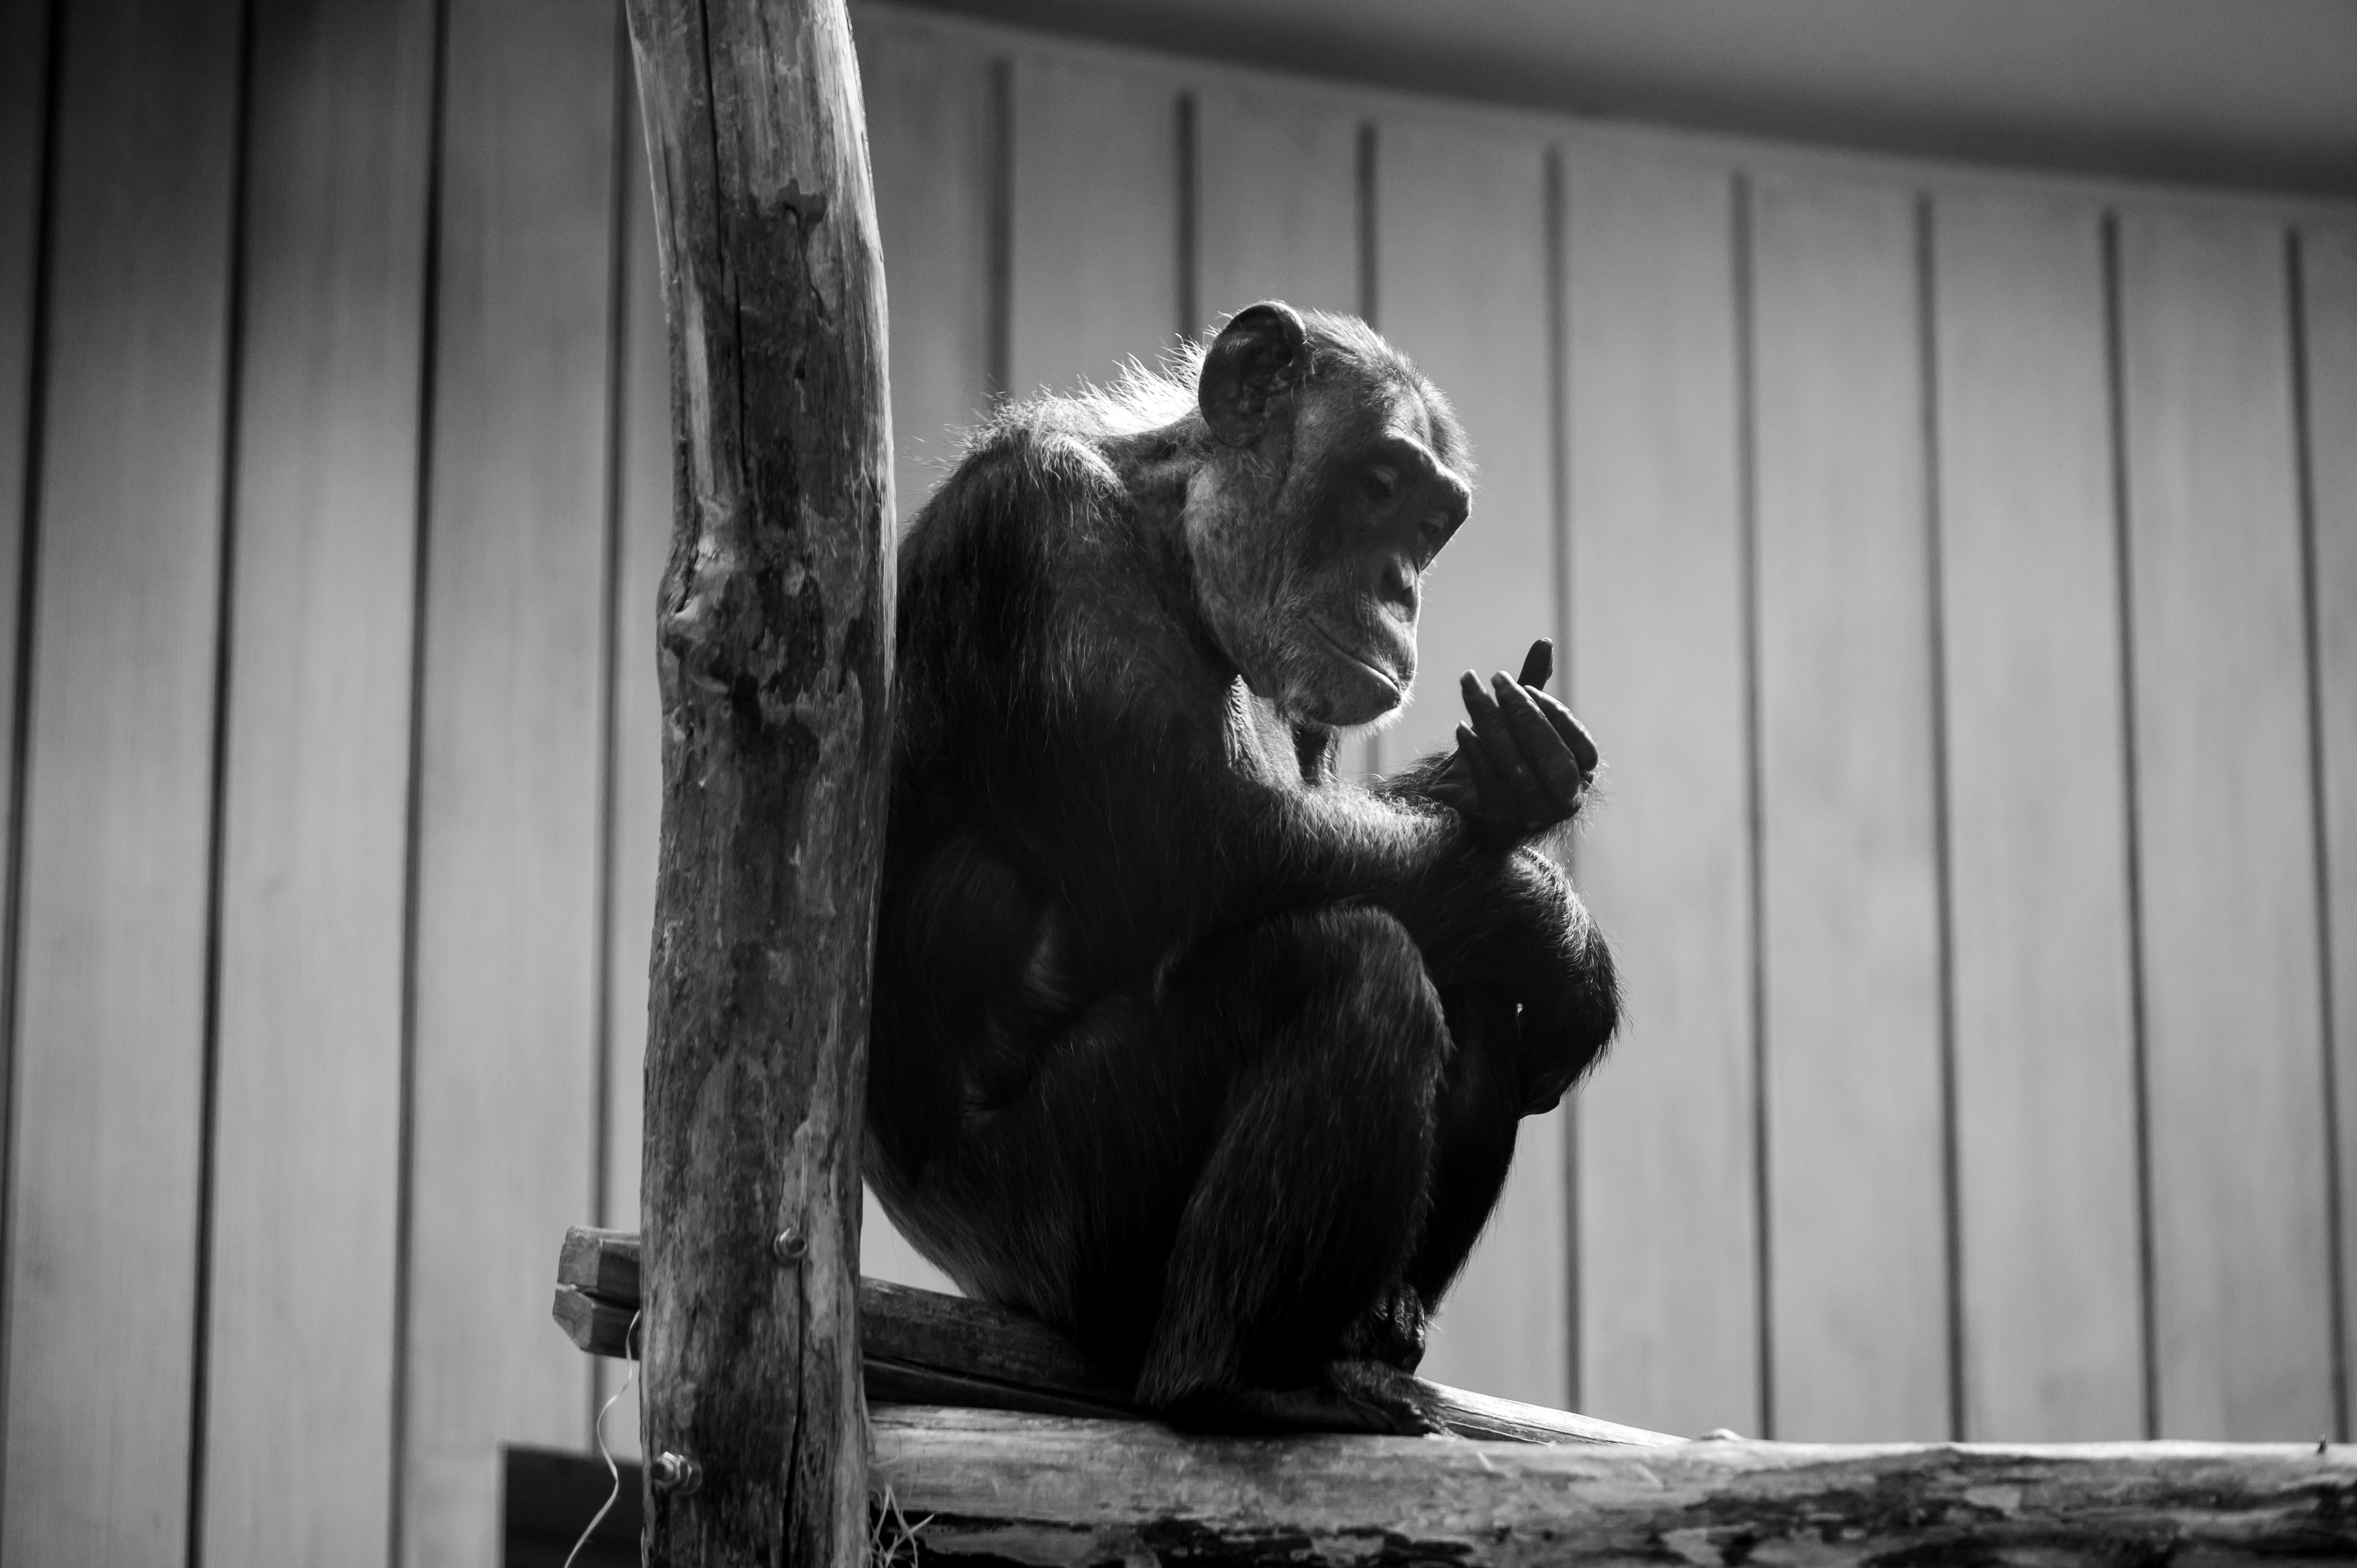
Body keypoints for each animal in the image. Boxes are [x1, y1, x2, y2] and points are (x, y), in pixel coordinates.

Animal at [864, 301, 1620, 1435]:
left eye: (1432, 528)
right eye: (1381, 486)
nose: (1400, 586)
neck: (1172, 532)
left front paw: (1510, 779)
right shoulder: (1051, 532)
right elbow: (1205, 848)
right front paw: (1556, 924)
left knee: (1468, 976)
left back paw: (1366, 1336)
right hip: (1070, 1211)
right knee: (1357, 962)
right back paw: (1232, 1381)